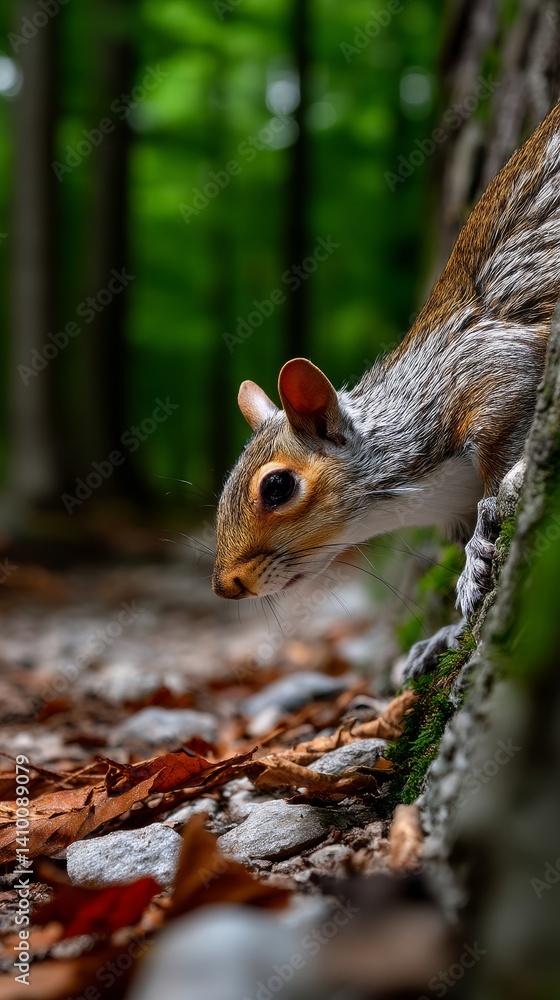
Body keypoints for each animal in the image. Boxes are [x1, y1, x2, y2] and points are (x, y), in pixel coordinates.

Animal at [212, 100, 560, 671]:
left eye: (277, 487)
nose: (225, 586)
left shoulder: (491, 369)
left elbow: (498, 470)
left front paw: (478, 555)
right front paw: (445, 634)